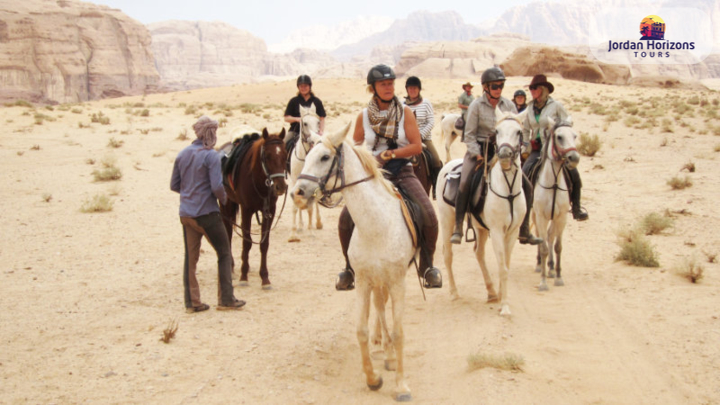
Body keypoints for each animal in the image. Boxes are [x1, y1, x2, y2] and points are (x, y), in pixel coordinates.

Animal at [219, 128, 286, 288]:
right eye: (267, 156)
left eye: (285, 154)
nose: (280, 187)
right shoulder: (246, 210)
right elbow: (247, 242)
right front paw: (244, 276)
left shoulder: (270, 210)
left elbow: (264, 244)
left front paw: (265, 278)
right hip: (226, 206)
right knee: (228, 232)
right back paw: (231, 266)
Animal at [292, 121, 416, 400]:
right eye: (307, 155)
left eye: (324, 157)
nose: (298, 193)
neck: (376, 226)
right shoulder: (362, 281)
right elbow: (361, 330)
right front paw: (373, 378)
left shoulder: (398, 282)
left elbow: (400, 331)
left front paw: (402, 386)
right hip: (376, 281)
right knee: (380, 309)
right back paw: (387, 354)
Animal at [436, 108, 524, 316]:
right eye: (497, 131)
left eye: (519, 132)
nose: (505, 155)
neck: (508, 189)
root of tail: (447, 166)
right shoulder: (498, 231)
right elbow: (502, 267)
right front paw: (505, 306)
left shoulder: (512, 231)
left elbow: (505, 265)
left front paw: (500, 297)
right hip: (447, 220)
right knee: (448, 254)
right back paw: (454, 292)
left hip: (481, 228)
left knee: (478, 253)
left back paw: (491, 292)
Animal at [536, 117, 580, 290]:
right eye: (559, 137)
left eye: (575, 136)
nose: (574, 158)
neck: (553, 183)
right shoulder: (541, 217)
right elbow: (543, 247)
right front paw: (542, 282)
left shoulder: (561, 217)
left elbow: (557, 246)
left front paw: (559, 277)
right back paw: (540, 265)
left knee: (550, 236)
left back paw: (551, 268)